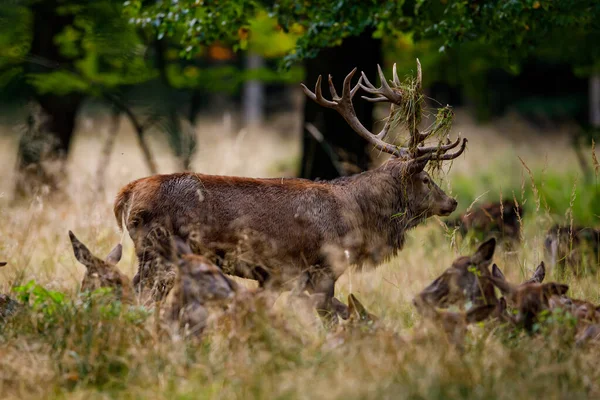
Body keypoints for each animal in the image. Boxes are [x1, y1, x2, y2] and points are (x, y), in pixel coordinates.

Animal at [115, 59, 466, 324]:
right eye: (425, 179)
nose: (452, 201)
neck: (357, 219)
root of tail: (126, 194)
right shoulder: (321, 268)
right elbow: (332, 317)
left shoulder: (275, 277)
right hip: (159, 251)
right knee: (140, 294)